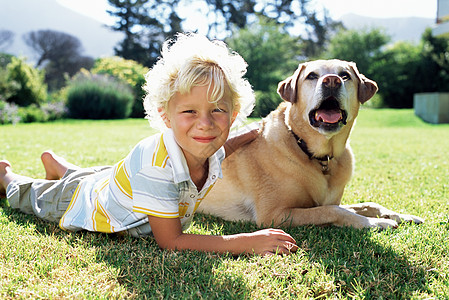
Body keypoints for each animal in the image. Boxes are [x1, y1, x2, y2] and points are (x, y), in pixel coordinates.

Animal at [200, 58, 424, 229]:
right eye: (312, 76)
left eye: (345, 75)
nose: (332, 81)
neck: (318, 155)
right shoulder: (274, 215)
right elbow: (333, 211)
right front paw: (375, 223)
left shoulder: (331, 200)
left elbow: (368, 204)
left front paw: (402, 216)